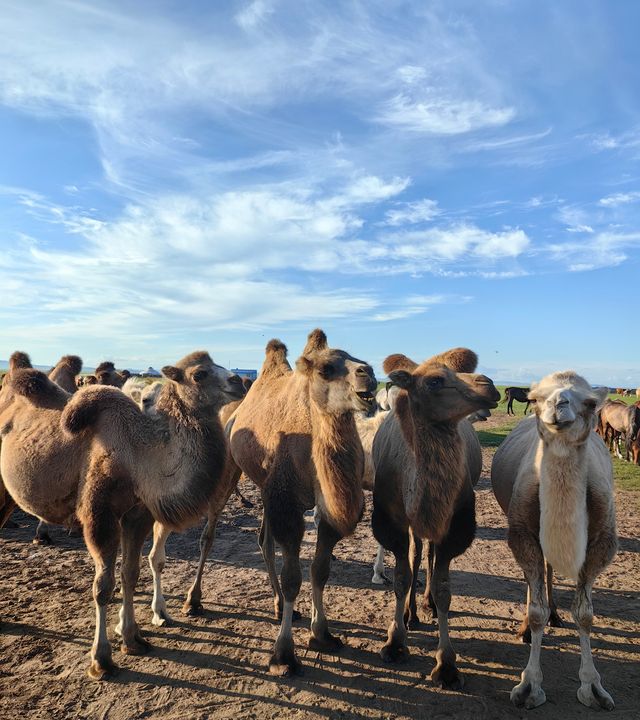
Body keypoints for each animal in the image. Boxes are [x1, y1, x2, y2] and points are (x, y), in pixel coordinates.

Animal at [0, 354, 244, 680]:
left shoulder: (137, 514)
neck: (137, 454)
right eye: (200, 374)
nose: (240, 381)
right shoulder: (99, 515)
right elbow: (103, 585)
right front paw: (101, 660)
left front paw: (132, 638)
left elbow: (130, 573)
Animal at [229, 330, 376, 676]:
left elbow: (320, 570)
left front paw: (321, 633)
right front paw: (283, 654)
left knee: (265, 539)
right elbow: (293, 578)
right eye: (326, 369)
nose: (369, 374)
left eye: (360, 359)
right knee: (264, 543)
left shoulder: (329, 509)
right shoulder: (288, 503)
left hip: (267, 490)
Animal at [370, 348, 500, 692]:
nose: (488, 385)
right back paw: (410, 614)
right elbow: (401, 577)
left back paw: (424, 604)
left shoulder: (454, 527)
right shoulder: (393, 522)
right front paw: (395, 642)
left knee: (427, 554)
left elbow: (444, 589)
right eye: (434, 381)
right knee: (417, 554)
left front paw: (447, 664)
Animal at [490, 374, 616, 712]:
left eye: (590, 403)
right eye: (534, 398)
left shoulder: (601, 546)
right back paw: (529, 625)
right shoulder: (522, 535)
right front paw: (529, 687)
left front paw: (593, 687)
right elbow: (536, 612)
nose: (558, 405)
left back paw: (556, 614)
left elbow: (584, 614)